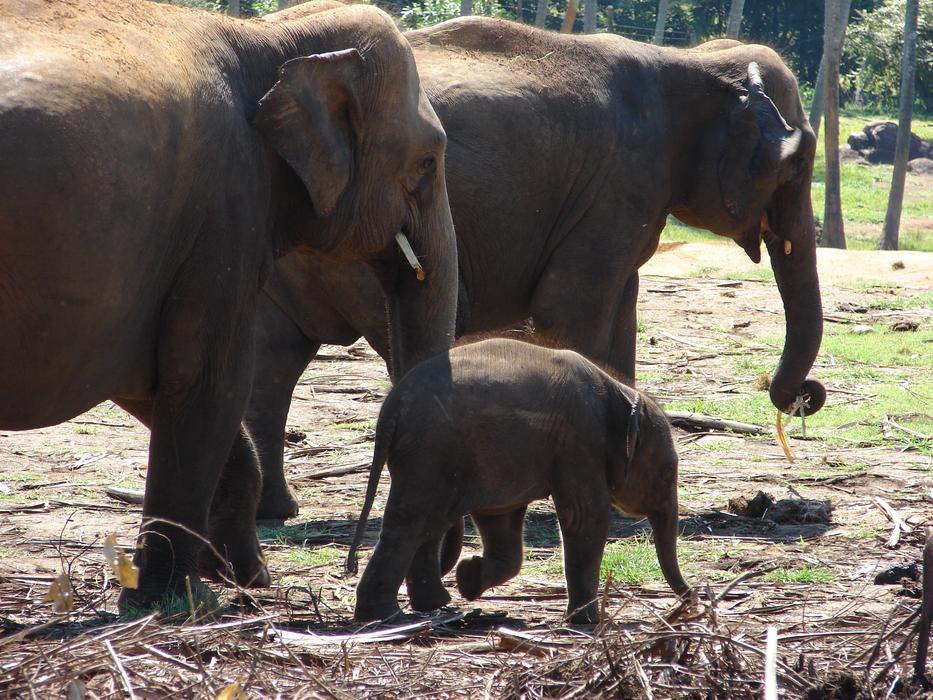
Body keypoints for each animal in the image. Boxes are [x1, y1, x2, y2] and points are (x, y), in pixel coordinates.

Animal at [0, 0, 458, 613]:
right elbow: (206, 380)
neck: (269, 36)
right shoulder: (225, 210)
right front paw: (185, 599)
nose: (440, 600)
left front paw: (238, 572)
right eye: (428, 161)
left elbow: (147, 380)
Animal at [247, 16, 828, 521]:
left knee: (275, 357)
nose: (805, 395)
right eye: (799, 164)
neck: (693, 61)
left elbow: (622, 317)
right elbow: (570, 314)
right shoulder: (620, 184)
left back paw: (277, 510)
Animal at [346, 338, 688, 624]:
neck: (620, 393)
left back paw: (435, 603)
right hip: (431, 450)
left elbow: (501, 517)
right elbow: (585, 516)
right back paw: (384, 616)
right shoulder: (580, 441)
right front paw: (587, 623)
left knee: (429, 522)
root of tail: (391, 407)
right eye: (667, 472)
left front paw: (468, 577)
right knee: (412, 521)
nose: (693, 600)